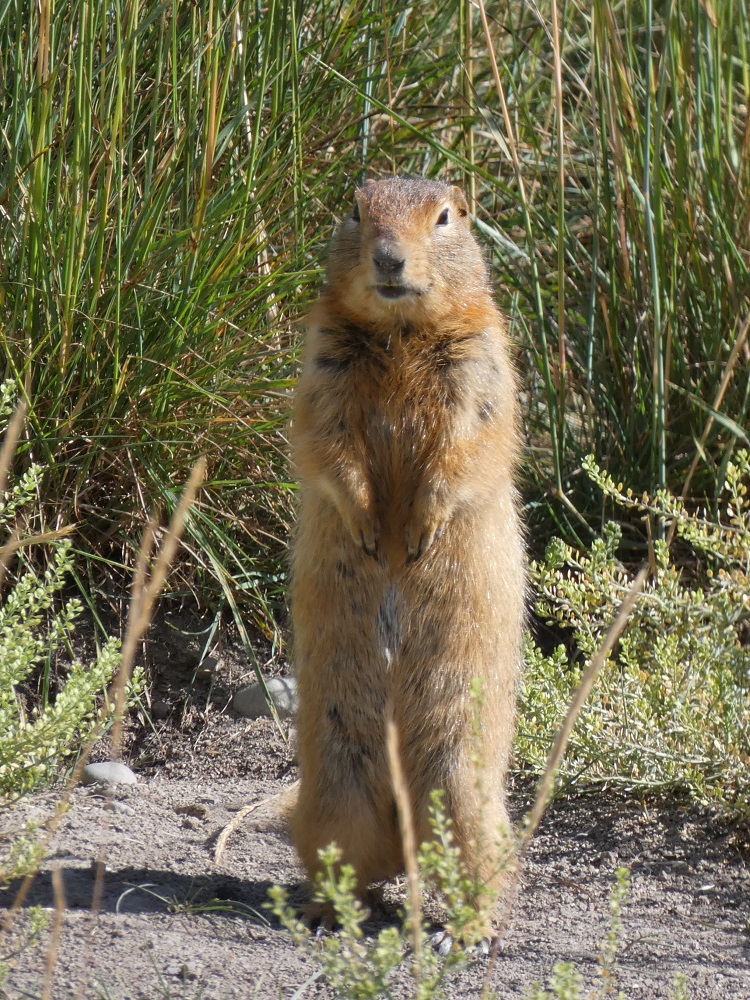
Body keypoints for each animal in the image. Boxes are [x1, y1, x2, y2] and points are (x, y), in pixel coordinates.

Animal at [289, 177, 525, 933]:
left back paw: (467, 929)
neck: (399, 333)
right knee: (354, 864)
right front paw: (368, 526)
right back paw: (331, 910)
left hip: (463, 791)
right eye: (355, 209)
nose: (390, 258)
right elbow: (325, 440)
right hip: (334, 791)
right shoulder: (321, 363)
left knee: (473, 868)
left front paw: (420, 531)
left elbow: (467, 445)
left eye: (445, 216)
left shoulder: (482, 363)